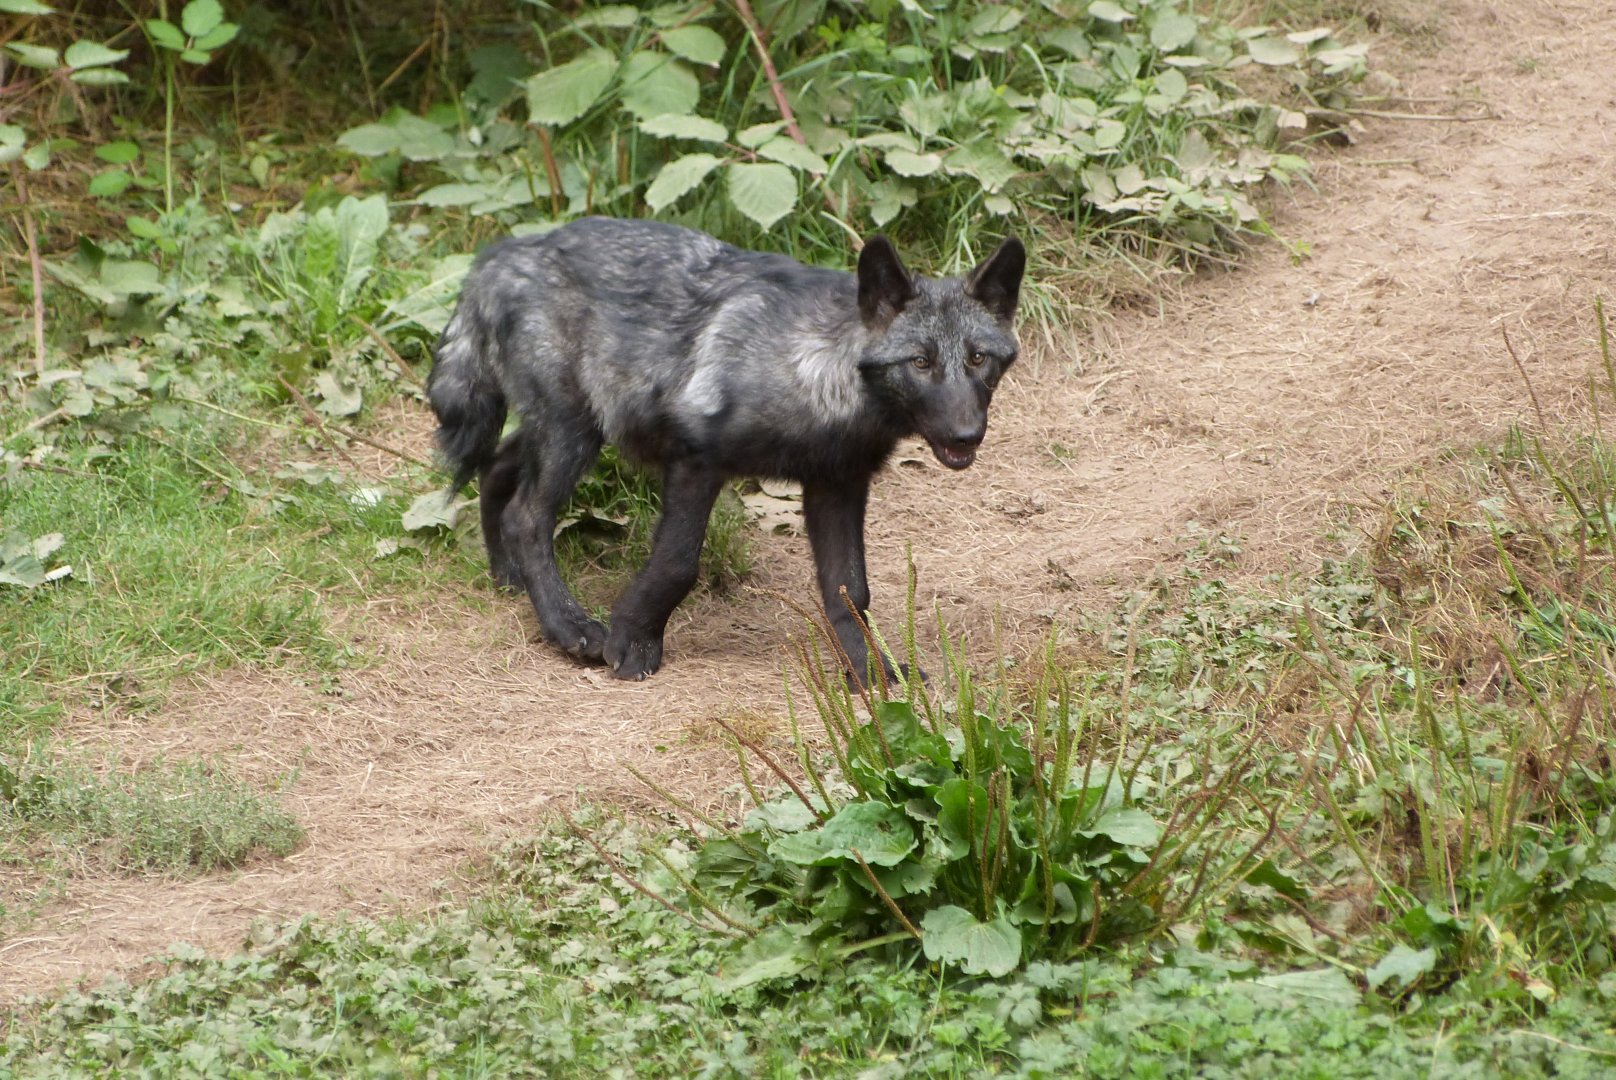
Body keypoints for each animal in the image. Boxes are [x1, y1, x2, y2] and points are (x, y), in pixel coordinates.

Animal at [428, 217, 1025, 683]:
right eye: (920, 362)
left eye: (978, 359)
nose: (966, 435)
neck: (816, 373)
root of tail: (505, 252)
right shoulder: (697, 461)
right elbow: (677, 564)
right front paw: (632, 643)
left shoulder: (837, 485)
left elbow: (850, 591)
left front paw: (870, 671)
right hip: (572, 435)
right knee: (527, 515)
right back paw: (568, 626)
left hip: (570, 430)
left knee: (496, 471)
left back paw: (507, 577)